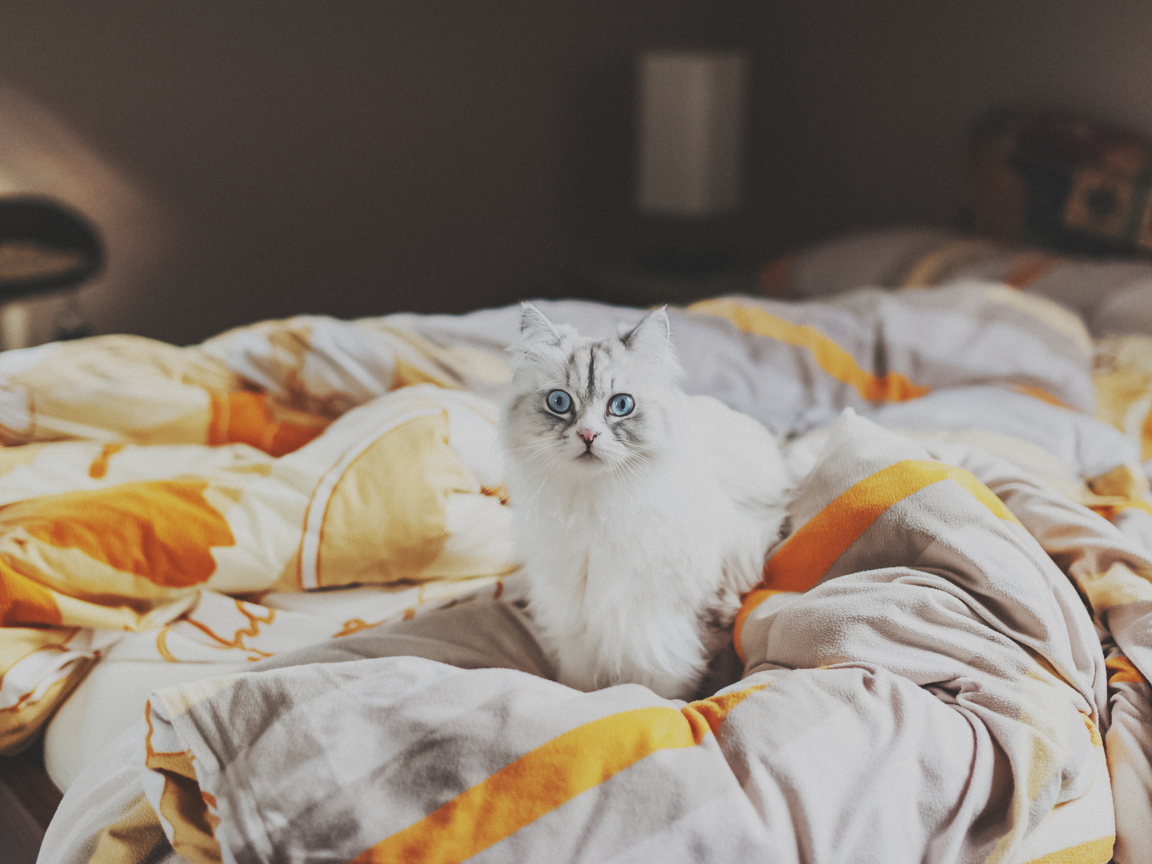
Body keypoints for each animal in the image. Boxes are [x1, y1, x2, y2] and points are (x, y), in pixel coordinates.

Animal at [504, 304, 792, 705]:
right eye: (559, 402)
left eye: (621, 406)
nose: (588, 435)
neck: (596, 507)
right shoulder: (575, 619)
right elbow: (576, 680)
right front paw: (580, 698)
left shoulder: (659, 627)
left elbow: (663, 688)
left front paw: (666, 705)